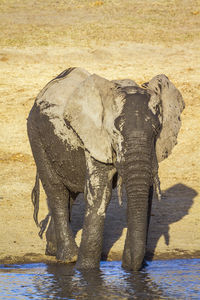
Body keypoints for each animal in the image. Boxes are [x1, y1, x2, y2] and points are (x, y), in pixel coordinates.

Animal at [26, 67, 184, 270]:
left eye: (157, 131)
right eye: (115, 132)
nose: (128, 266)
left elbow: (145, 198)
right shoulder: (96, 140)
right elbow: (100, 195)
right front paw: (86, 270)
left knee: (70, 194)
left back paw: (53, 250)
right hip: (35, 134)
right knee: (56, 191)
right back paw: (68, 257)